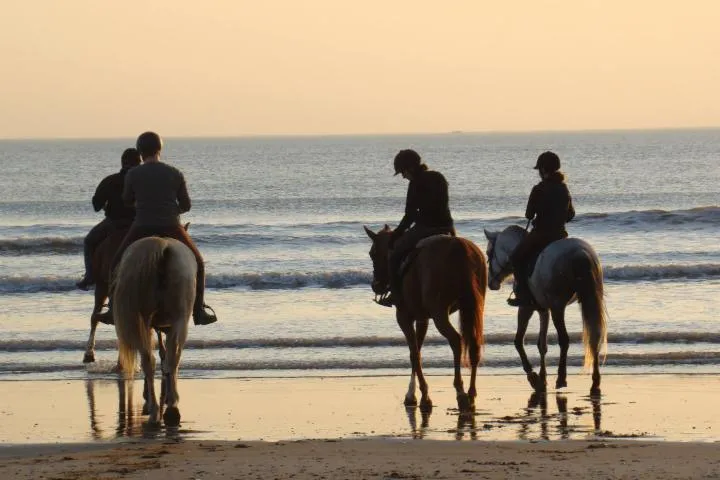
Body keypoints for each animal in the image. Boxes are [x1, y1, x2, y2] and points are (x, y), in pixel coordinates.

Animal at [111, 235, 194, 424]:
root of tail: (161, 247)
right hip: (178, 319)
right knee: (170, 357)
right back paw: (169, 405)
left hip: (145, 320)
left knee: (150, 360)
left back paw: (157, 408)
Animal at [362, 225, 486, 412]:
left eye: (372, 253)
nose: (375, 285)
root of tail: (458, 247)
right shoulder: (422, 319)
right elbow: (418, 349)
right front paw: (413, 394)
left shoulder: (404, 317)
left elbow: (414, 353)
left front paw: (424, 396)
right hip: (472, 307)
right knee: (473, 345)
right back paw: (471, 395)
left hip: (440, 313)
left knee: (456, 341)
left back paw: (460, 392)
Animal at [484, 225, 608, 394]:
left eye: (488, 253)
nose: (491, 283)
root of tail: (580, 253)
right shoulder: (543, 310)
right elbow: (542, 345)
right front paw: (542, 379)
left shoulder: (526, 308)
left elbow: (518, 340)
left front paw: (533, 378)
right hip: (588, 300)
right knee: (594, 335)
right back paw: (595, 382)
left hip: (558, 307)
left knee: (564, 340)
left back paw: (561, 378)